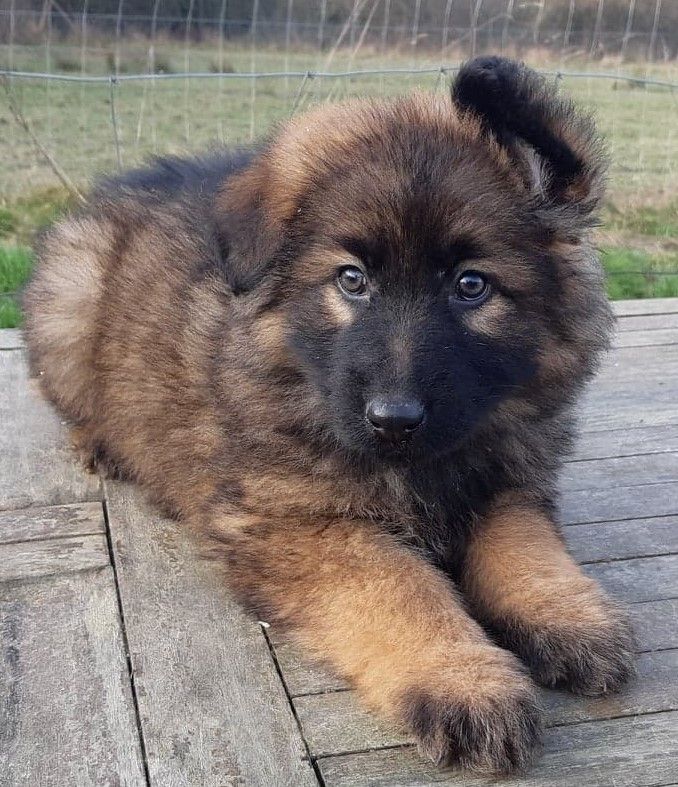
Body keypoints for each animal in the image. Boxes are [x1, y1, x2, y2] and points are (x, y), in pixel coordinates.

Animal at [23, 57, 634, 774]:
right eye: (351, 280)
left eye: (471, 285)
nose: (393, 419)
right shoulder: (296, 524)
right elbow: (401, 587)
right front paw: (463, 680)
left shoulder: (507, 482)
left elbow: (525, 548)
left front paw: (570, 615)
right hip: (69, 295)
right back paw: (103, 443)